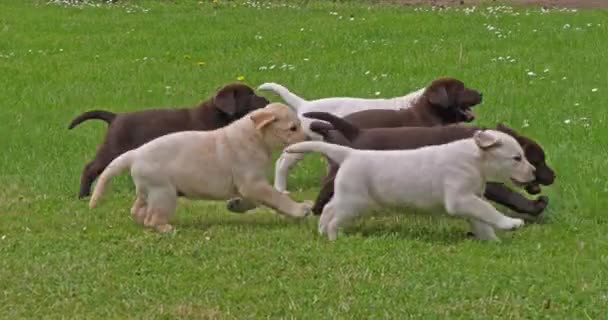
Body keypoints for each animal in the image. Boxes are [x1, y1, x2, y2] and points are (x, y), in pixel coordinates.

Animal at [89, 104, 314, 231]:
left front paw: (237, 205)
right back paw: (166, 228)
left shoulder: (251, 185)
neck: (254, 136)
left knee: (136, 210)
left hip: (149, 191)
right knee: (152, 219)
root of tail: (135, 153)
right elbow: (278, 197)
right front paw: (299, 209)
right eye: (293, 128)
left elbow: (255, 200)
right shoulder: (252, 183)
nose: (309, 138)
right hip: (164, 194)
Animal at [286, 129, 536, 240]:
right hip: (353, 201)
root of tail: (350, 153)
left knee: (329, 209)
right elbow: (488, 210)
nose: (533, 173)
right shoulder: (460, 198)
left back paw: (322, 231)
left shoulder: (471, 198)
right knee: (334, 216)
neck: (475, 158)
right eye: (517, 158)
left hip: (347, 197)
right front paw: (511, 223)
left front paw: (491, 241)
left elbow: (481, 218)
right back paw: (333, 236)